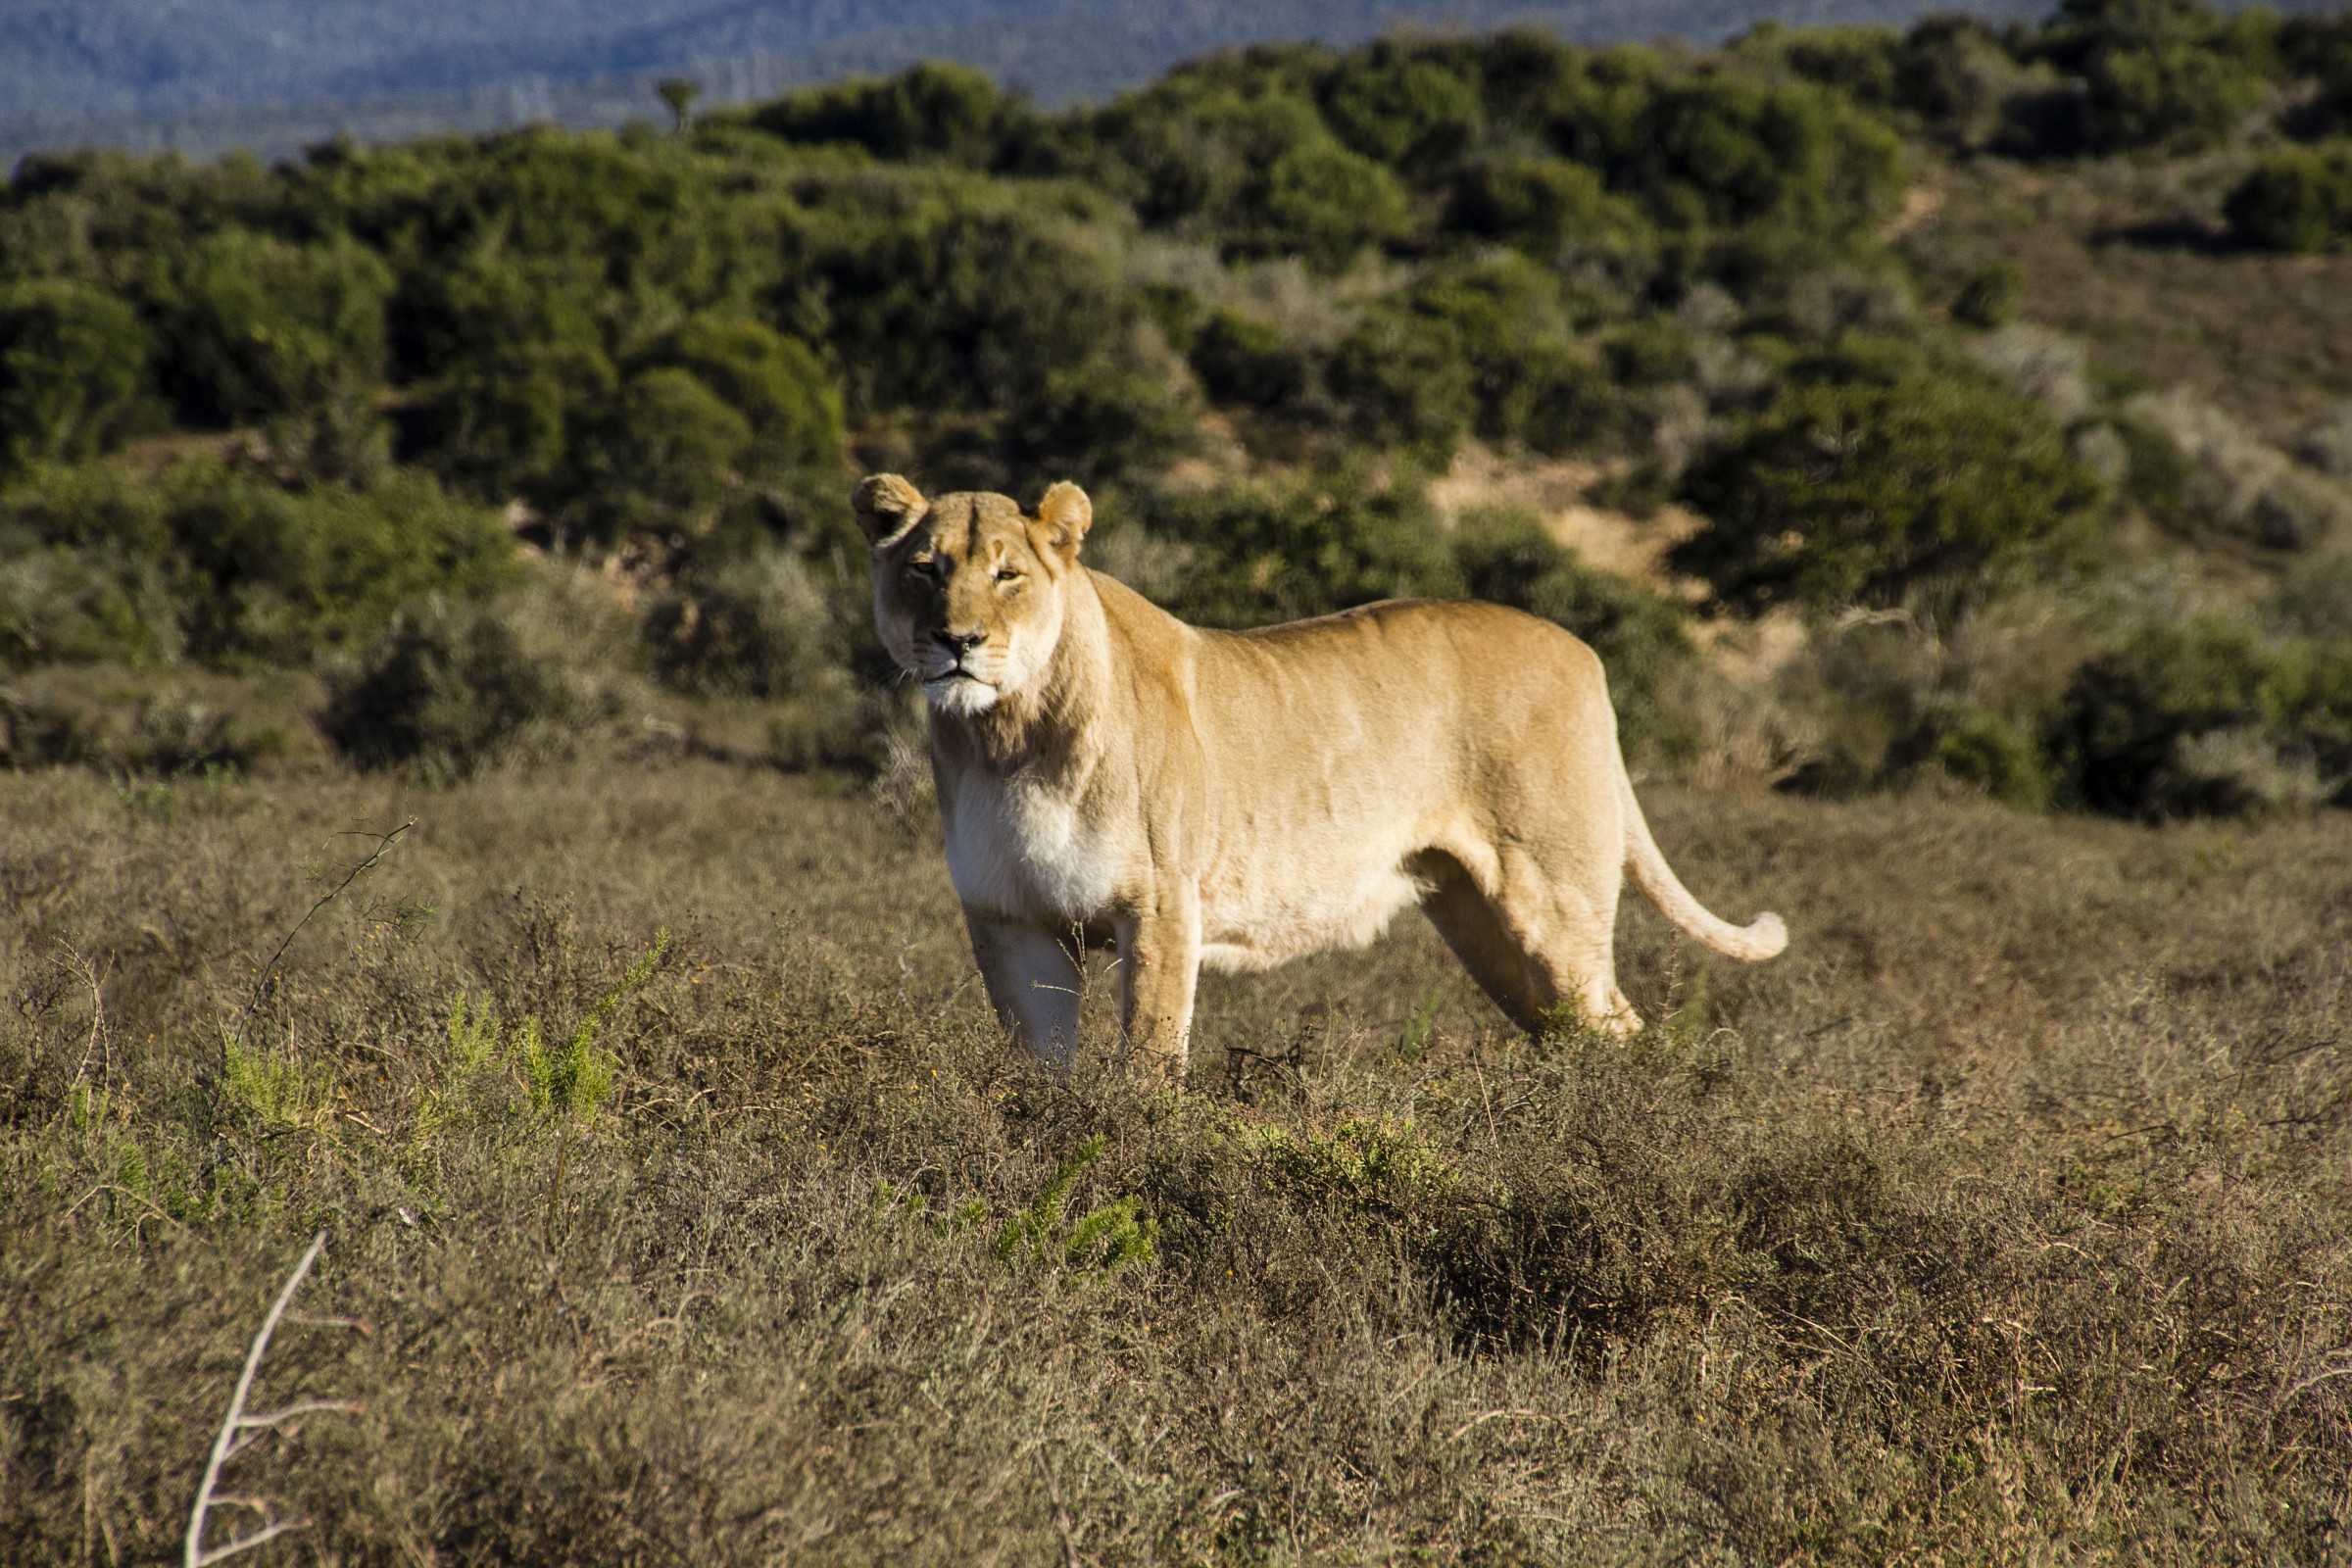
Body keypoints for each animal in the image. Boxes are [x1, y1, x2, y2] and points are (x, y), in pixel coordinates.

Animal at [854, 473, 1786, 1078]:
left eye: (1007, 573)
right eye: (925, 570)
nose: (957, 640)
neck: (1004, 736)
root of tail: (1586, 654)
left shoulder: (1158, 907)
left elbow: (1147, 1064)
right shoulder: (1009, 919)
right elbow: (1039, 1069)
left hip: (1553, 900)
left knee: (1618, 1027)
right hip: (1481, 921)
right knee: (1568, 1029)